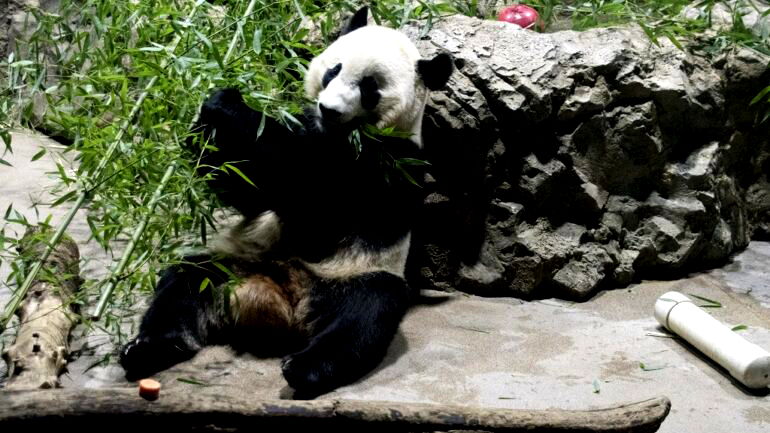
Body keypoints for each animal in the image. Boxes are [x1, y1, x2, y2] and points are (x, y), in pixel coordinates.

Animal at [119, 7, 450, 398]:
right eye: (334, 70)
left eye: (369, 88)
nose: (329, 109)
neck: (334, 132)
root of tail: (280, 306)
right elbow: (248, 192)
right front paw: (214, 102)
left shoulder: (390, 163)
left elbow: (311, 191)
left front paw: (231, 107)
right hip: (236, 263)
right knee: (184, 283)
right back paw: (148, 349)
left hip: (350, 274)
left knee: (366, 313)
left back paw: (305, 369)